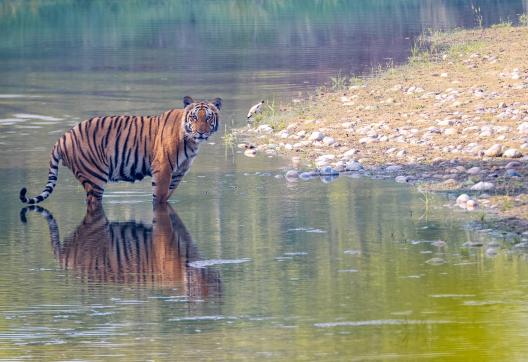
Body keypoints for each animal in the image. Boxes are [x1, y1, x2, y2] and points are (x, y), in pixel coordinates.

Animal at [19, 96, 222, 206]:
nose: (201, 132)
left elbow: (166, 197)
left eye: (208, 118)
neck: (191, 142)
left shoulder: (178, 173)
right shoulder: (163, 168)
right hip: (94, 177)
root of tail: (63, 137)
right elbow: (159, 197)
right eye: (194, 118)